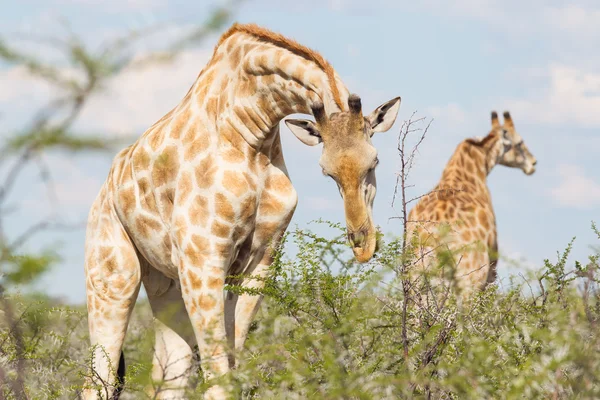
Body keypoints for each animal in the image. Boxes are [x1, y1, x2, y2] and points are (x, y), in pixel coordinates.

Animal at [82, 23, 400, 398]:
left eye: (374, 162)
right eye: (326, 172)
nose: (362, 244)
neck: (250, 136)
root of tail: (105, 188)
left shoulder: (260, 260)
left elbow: (233, 365)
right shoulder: (203, 259)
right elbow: (217, 378)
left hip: (165, 285)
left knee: (168, 376)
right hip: (113, 278)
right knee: (97, 379)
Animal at [406, 111, 536, 298]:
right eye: (519, 142)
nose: (533, 164)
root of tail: (436, 240)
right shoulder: (491, 266)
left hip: (416, 281)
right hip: (469, 281)